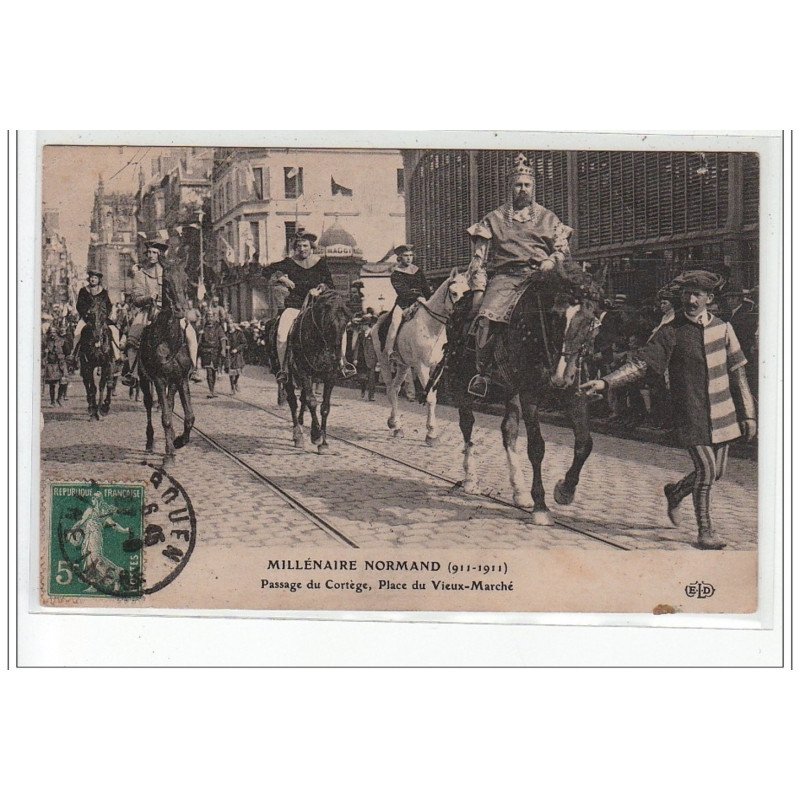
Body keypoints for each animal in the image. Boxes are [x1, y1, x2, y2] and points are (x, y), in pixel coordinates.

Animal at [137, 266, 195, 466]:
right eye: (167, 281)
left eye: (186, 279)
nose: (180, 309)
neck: (170, 339)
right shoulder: (159, 380)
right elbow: (166, 418)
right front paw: (169, 454)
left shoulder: (181, 378)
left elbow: (189, 416)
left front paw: (179, 441)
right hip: (144, 379)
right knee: (149, 404)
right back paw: (149, 442)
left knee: (169, 404)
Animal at [270, 290, 352, 454]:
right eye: (329, 322)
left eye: (346, 323)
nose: (336, 356)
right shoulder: (304, 373)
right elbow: (312, 402)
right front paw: (316, 435)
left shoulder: (330, 376)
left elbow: (325, 407)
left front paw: (324, 443)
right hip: (289, 376)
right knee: (293, 401)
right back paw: (297, 435)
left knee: (302, 400)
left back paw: (302, 426)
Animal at [372, 268, 472, 444]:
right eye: (453, 292)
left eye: (467, 292)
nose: (463, 317)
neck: (431, 327)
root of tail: (377, 322)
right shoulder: (421, 367)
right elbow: (430, 398)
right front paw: (431, 434)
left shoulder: (436, 368)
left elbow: (434, 397)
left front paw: (431, 431)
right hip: (384, 362)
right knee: (390, 388)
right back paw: (396, 424)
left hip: (403, 365)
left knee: (395, 388)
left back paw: (394, 424)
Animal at [444, 272, 600, 528]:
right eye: (555, 316)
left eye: (589, 321)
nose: (560, 376)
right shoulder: (529, 394)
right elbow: (536, 447)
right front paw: (541, 507)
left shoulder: (574, 394)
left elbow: (584, 444)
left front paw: (565, 491)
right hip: (461, 382)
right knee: (467, 424)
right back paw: (471, 479)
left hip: (510, 389)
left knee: (509, 430)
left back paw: (519, 491)